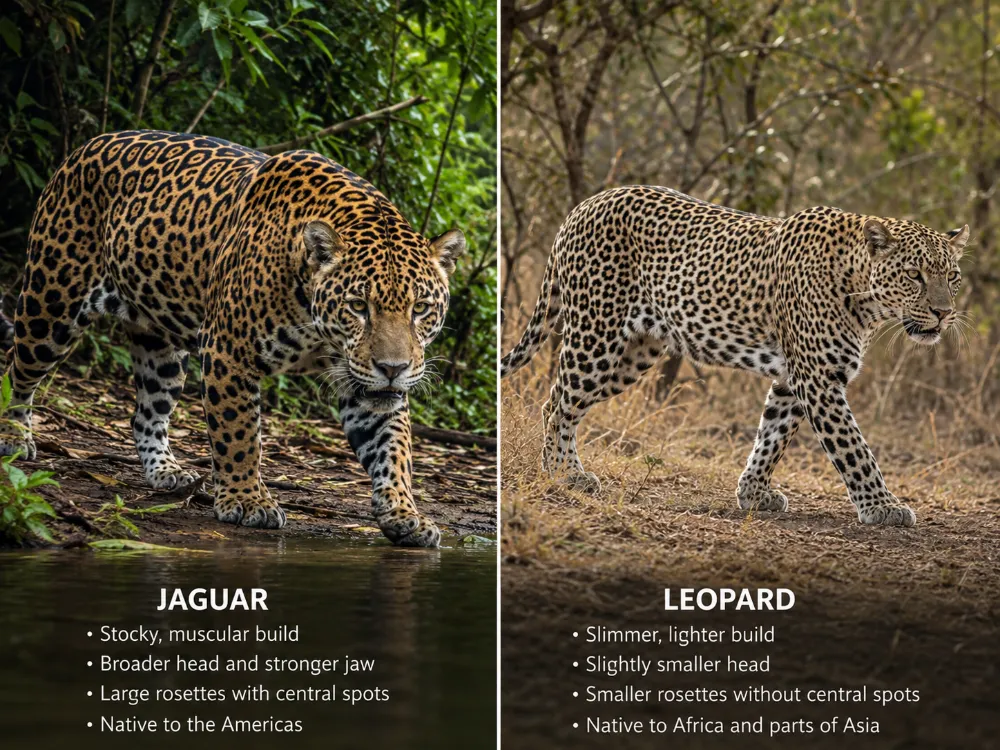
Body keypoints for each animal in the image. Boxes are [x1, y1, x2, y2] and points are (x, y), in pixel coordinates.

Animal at [0, 130, 467, 547]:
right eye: (358, 306)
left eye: (420, 309)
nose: (393, 368)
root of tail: (84, 147)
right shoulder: (228, 351)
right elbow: (239, 434)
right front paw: (247, 501)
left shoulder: (365, 387)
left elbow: (394, 450)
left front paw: (404, 514)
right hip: (50, 306)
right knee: (17, 370)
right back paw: (13, 436)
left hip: (160, 348)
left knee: (147, 412)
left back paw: (166, 471)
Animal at [501, 186, 969, 527]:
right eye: (914, 275)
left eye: (952, 276)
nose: (943, 313)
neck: (864, 298)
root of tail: (584, 204)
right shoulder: (818, 377)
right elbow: (854, 448)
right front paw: (883, 506)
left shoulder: (793, 378)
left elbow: (772, 436)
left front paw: (753, 493)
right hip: (596, 336)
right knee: (558, 403)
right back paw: (564, 473)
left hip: (633, 354)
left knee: (559, 401)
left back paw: (562, 469)